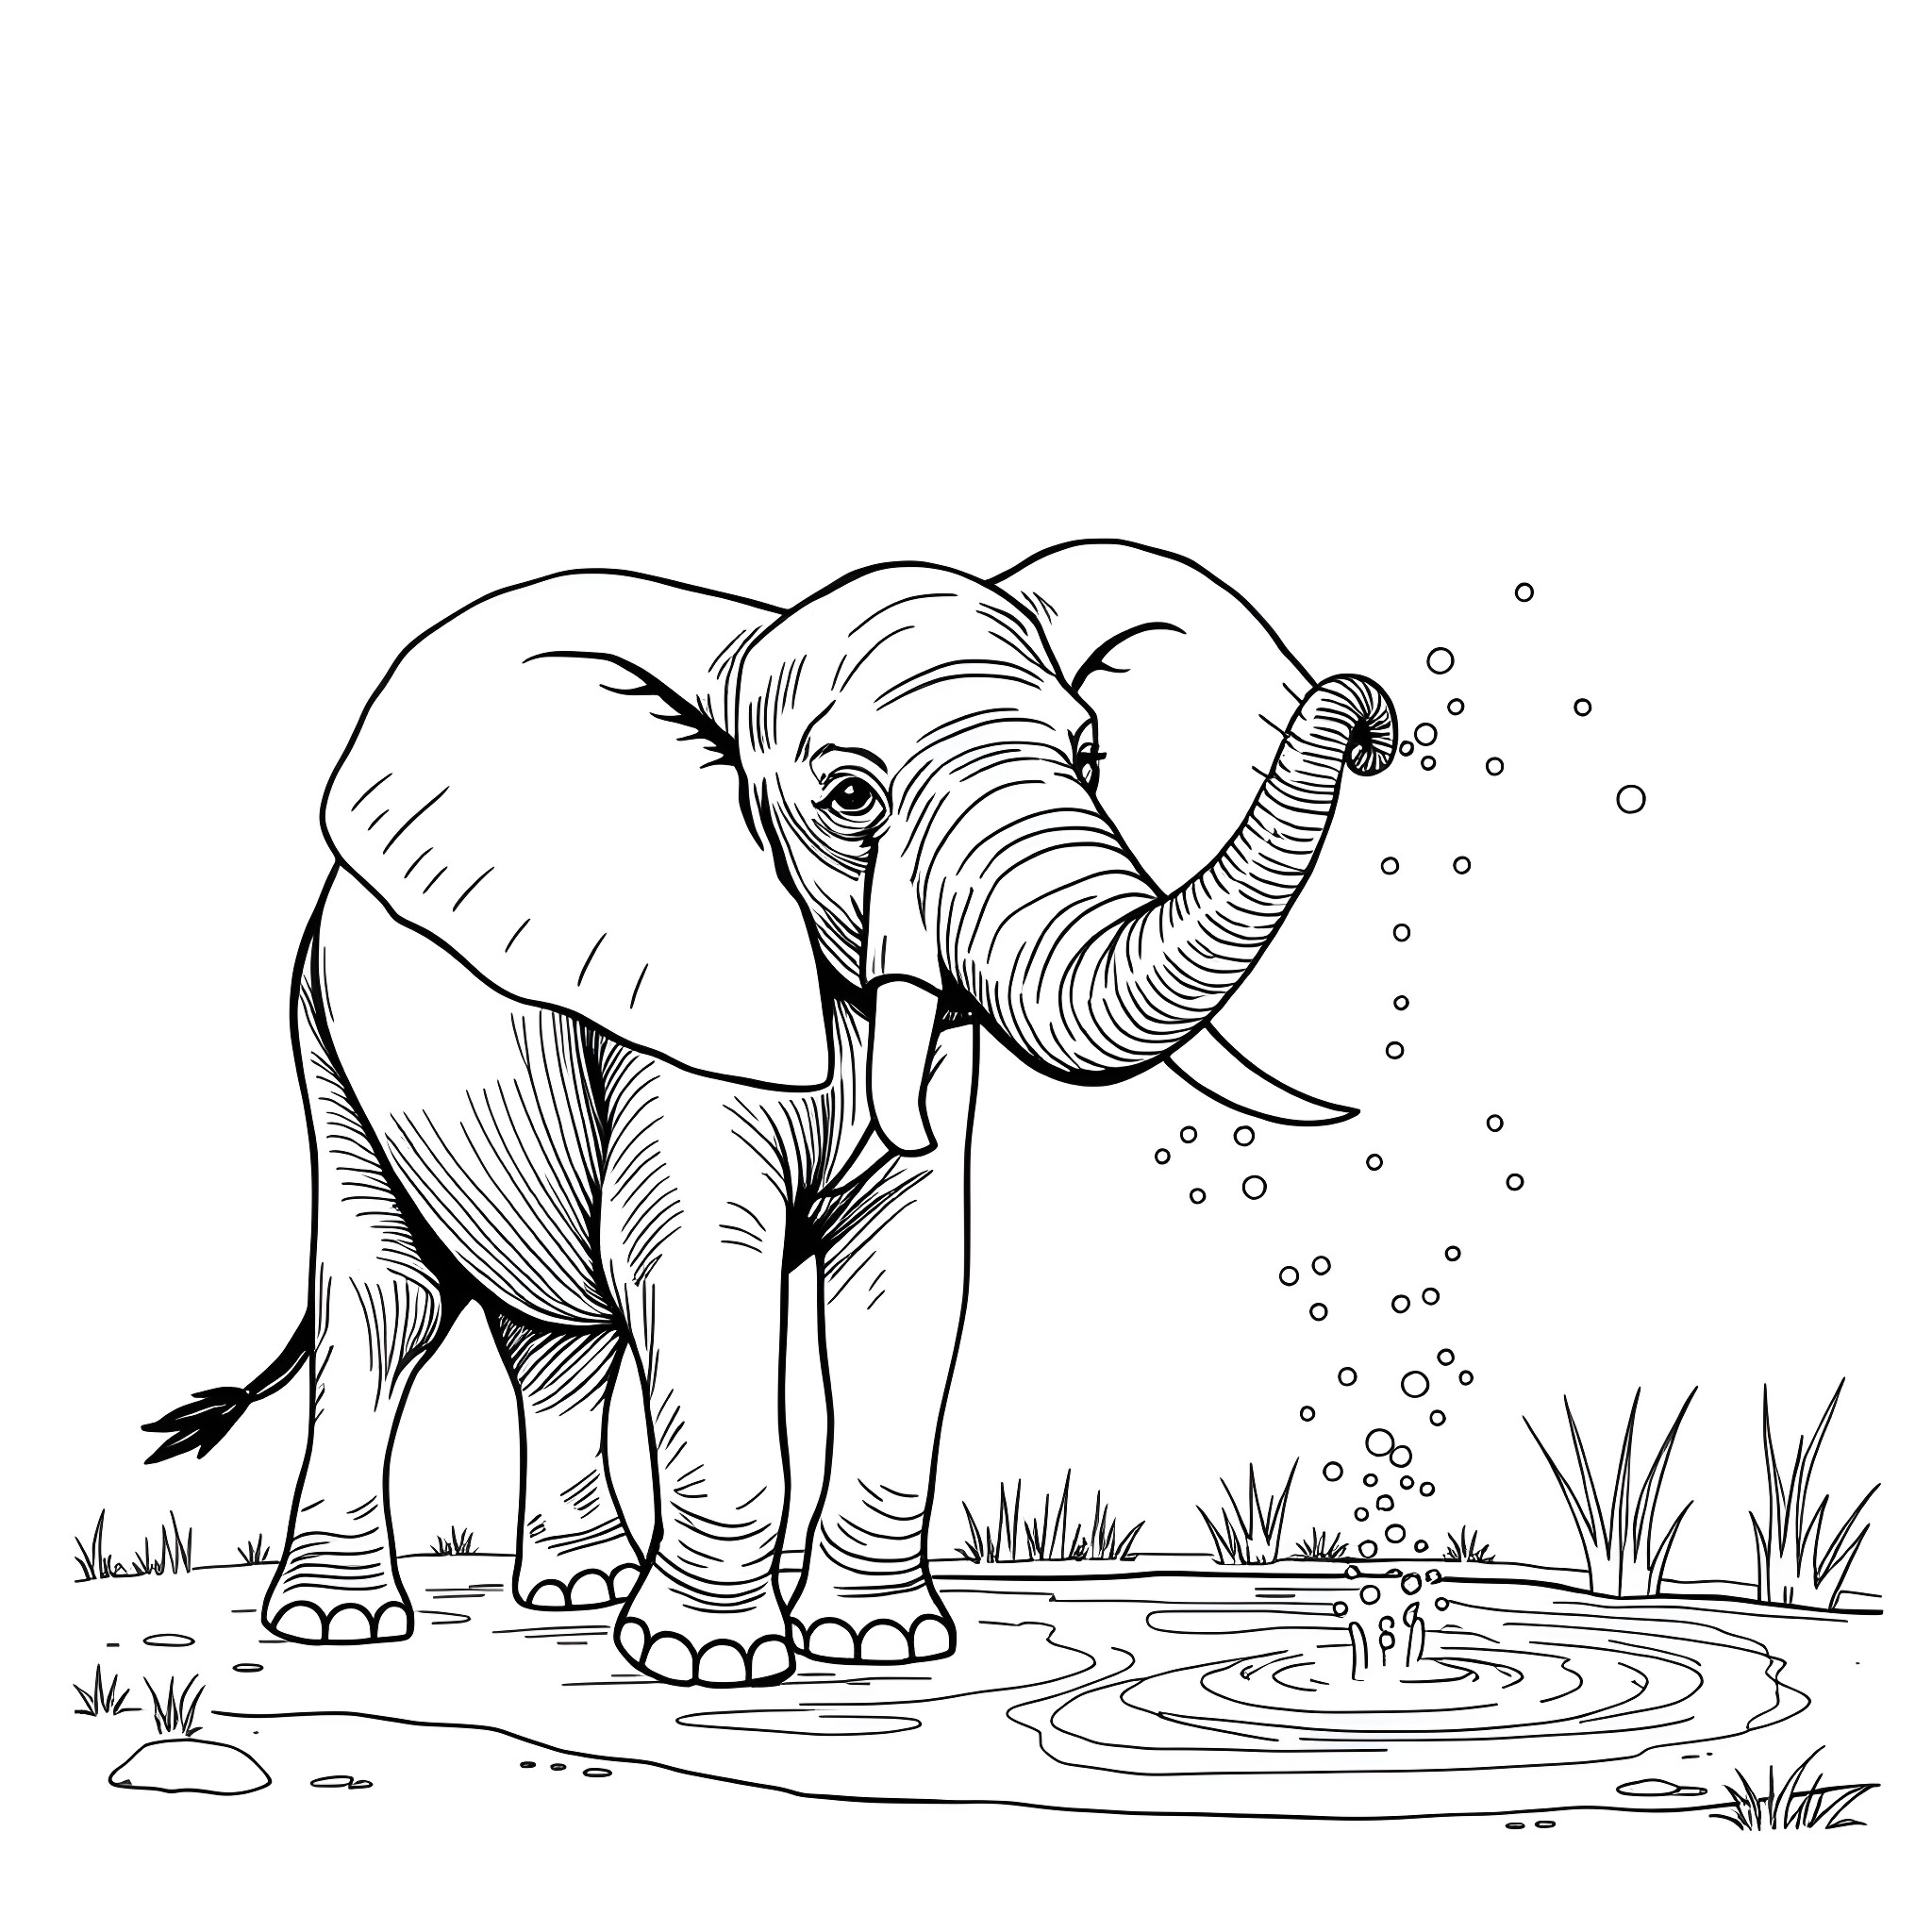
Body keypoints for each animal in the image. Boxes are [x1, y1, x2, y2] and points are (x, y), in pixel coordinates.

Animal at [145, 539, 1395, 1686]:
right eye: (849, 797)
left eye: (1089, 755)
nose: (1369, 721)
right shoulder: (670, 1015)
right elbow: (694, 1259)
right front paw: (707, 1660)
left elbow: (907, 1273)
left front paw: (880, 1646)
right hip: (323, 1037)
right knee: (384, 1305)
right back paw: (341, 1622)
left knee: (558, 1341)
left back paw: (574, 1590)